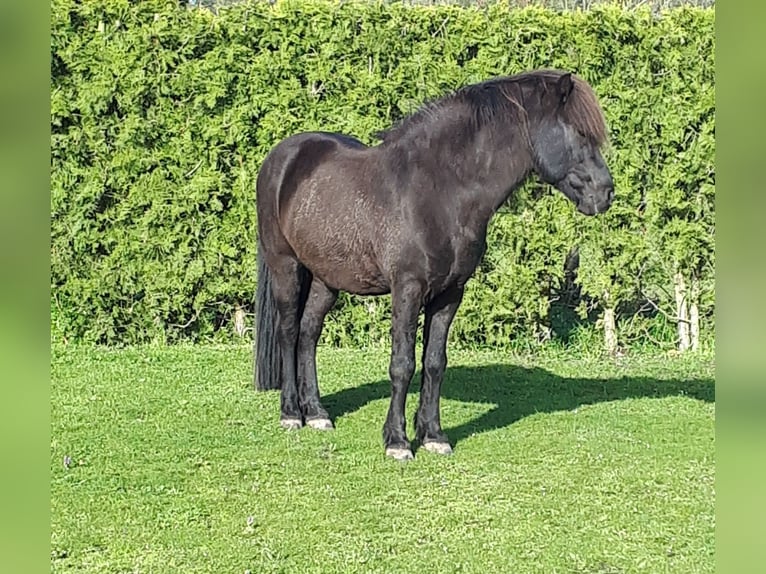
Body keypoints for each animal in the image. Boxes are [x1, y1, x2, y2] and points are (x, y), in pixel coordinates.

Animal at [253, 69, 614, 460]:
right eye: (579, 133)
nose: (606, 192)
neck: (440, 191)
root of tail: (281, 157)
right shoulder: (408, 289)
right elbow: (403, 364)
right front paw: (397, 441)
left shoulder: (450, 293)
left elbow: (435, 363)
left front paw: (433, 436)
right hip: (286, 267)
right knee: (289, 332)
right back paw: (292, 413)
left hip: (326, 278)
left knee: (308, 334)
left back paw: (317, 413)